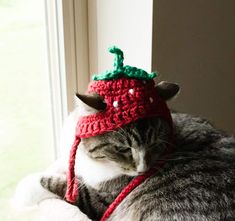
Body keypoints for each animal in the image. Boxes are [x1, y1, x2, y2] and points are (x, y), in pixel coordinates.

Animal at [13, 82, 234, 220]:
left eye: (155, 144)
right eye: (122, 148)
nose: (143, 170)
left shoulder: (99, 201)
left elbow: (56, 183)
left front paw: (22, 192)